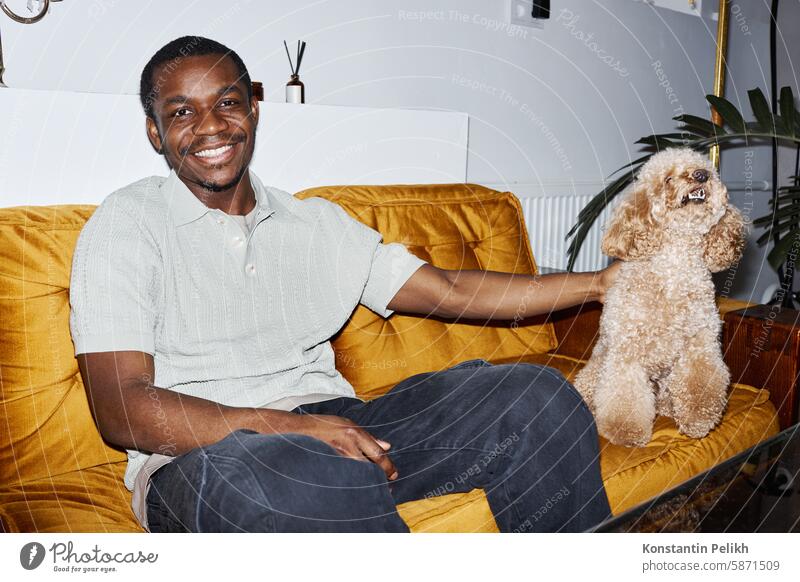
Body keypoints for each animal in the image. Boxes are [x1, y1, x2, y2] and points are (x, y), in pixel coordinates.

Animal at [576, 149, 744, 448]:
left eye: (705, 169)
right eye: (667, 179)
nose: (701, 175)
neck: (674, 271)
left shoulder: (700, 346)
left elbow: (699, 385)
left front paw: (697, 422)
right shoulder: (626, 353)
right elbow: (625, 397)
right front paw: (627, 432)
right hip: (597, 367)